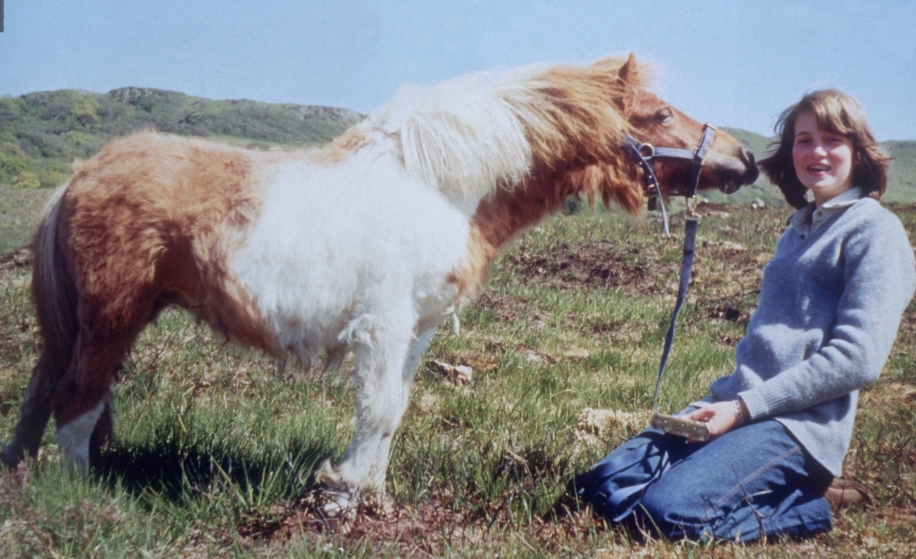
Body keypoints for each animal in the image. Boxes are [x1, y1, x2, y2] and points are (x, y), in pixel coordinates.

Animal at [0, 53, 760, 512]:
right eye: (658, 115)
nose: (746, 159)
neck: (437, 187)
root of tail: (79, 175)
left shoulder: (415, 331)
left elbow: (393, 408)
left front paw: (365, 492)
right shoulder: (384, 324)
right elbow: (378, 409)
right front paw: (345, 498)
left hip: (80, 328)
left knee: (41, 398)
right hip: (111, 320)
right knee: (76, 404)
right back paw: (81, 497)